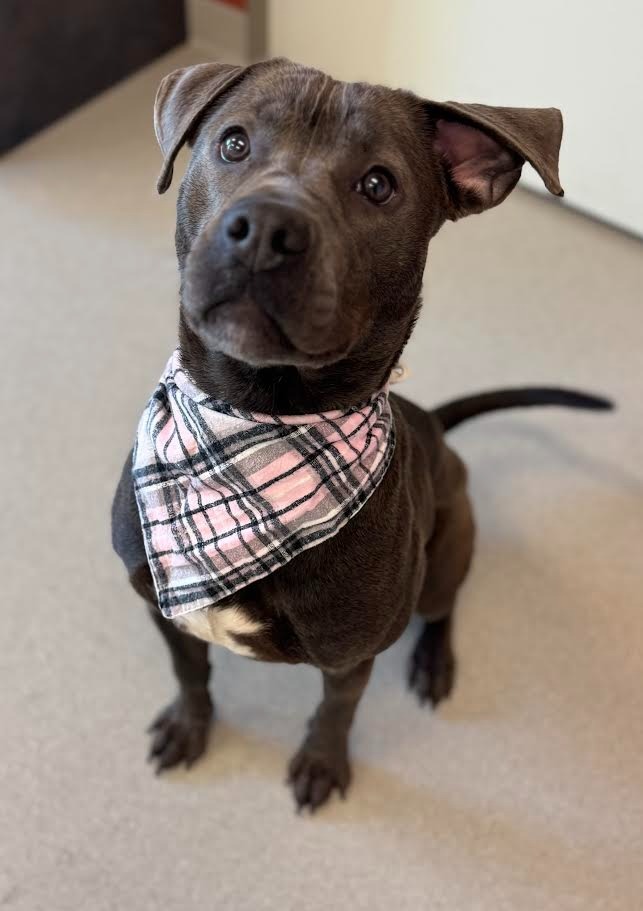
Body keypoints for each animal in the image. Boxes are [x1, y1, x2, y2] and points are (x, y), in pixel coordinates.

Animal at [112, 57, 612, 812]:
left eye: (378, 184)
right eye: (233, 143)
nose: (266, 227)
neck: (257, 417)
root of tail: (433, 425)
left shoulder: (350, 655)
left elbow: (335, 710)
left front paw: (321, 763)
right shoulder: (166, 611)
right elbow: (191, 674)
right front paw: (188, 726)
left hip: (446, 553)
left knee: (443, 605)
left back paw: (434, 661)